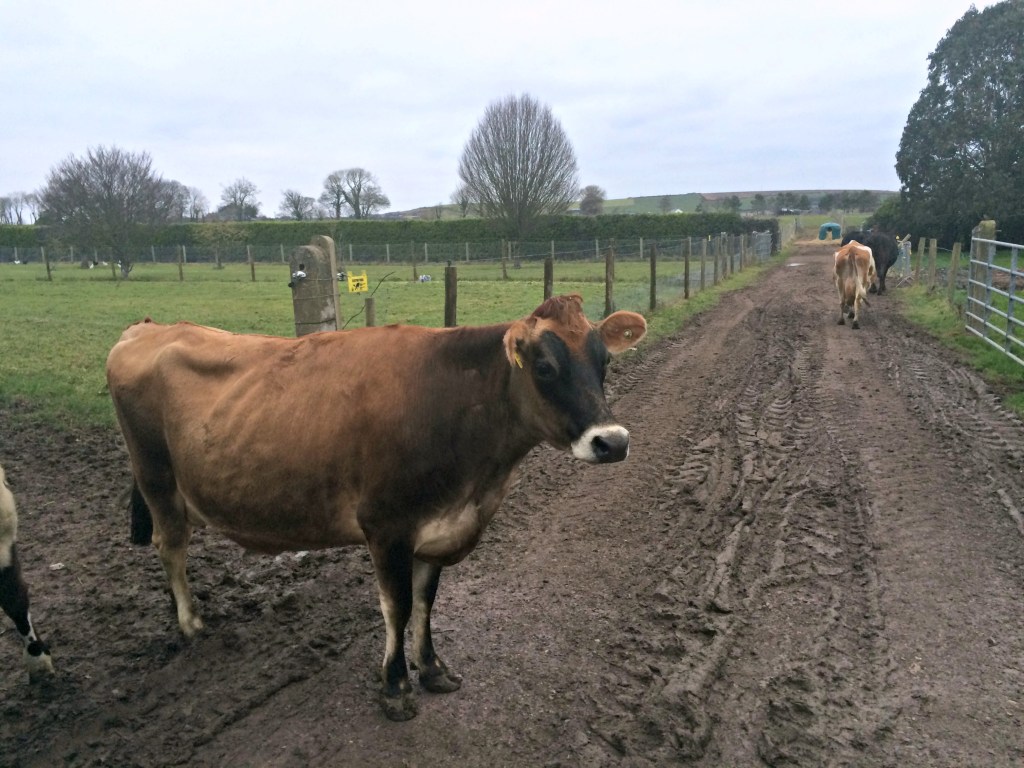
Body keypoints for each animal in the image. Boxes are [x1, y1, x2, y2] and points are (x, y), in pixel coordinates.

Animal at [106, 294, 647, 721]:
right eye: (545, 367)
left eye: (605, 362)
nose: (612, 442)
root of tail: (149, 327)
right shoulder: (387, 527)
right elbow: (398, 606)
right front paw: (395, 687)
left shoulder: (439, 526)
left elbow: (426, 602)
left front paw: (432, 669)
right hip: (156, 476)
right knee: (171, 545)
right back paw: (190, 623)